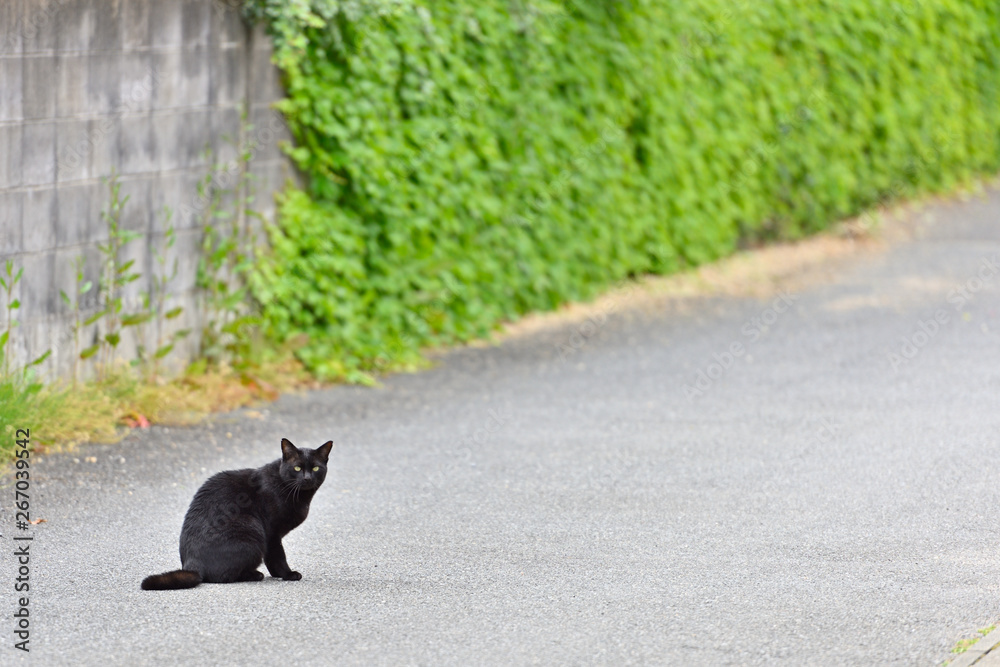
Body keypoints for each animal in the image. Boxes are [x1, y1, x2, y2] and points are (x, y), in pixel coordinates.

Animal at [142, 440, 336, 592]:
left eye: (316, 468)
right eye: (297, 468)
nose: (307, 478)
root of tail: (191, 564)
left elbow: (272, 557)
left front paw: (278, 575)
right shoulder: (272, 533)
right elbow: (278, 556)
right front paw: (288, 574)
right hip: (252, 530)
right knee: (222, 576)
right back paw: (255, 575)